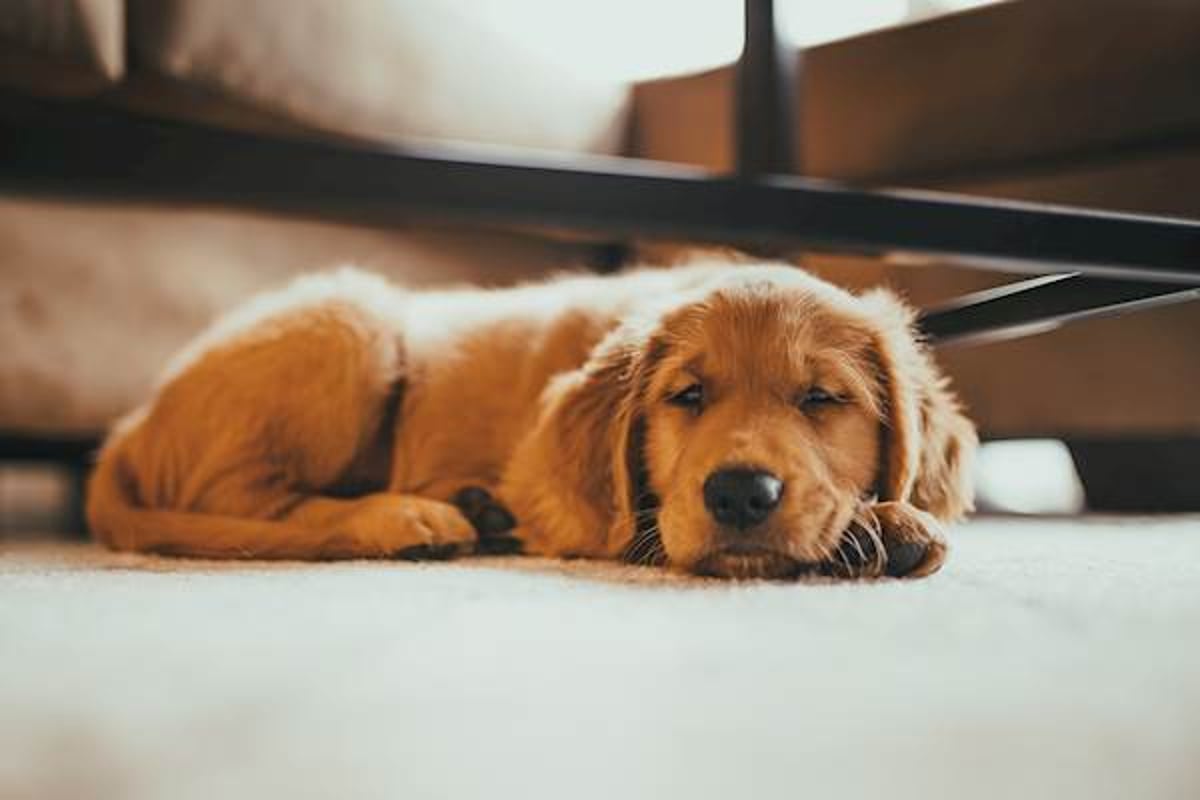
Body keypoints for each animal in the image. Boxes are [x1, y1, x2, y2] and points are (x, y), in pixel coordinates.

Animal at [91, 262, 974, 582]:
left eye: (822, 400)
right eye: (686, 397)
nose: (739, 496)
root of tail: (129, 427)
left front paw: (892, 518)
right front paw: (879, 524)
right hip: (351, 320)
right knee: (247, 504)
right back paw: (411, 518)